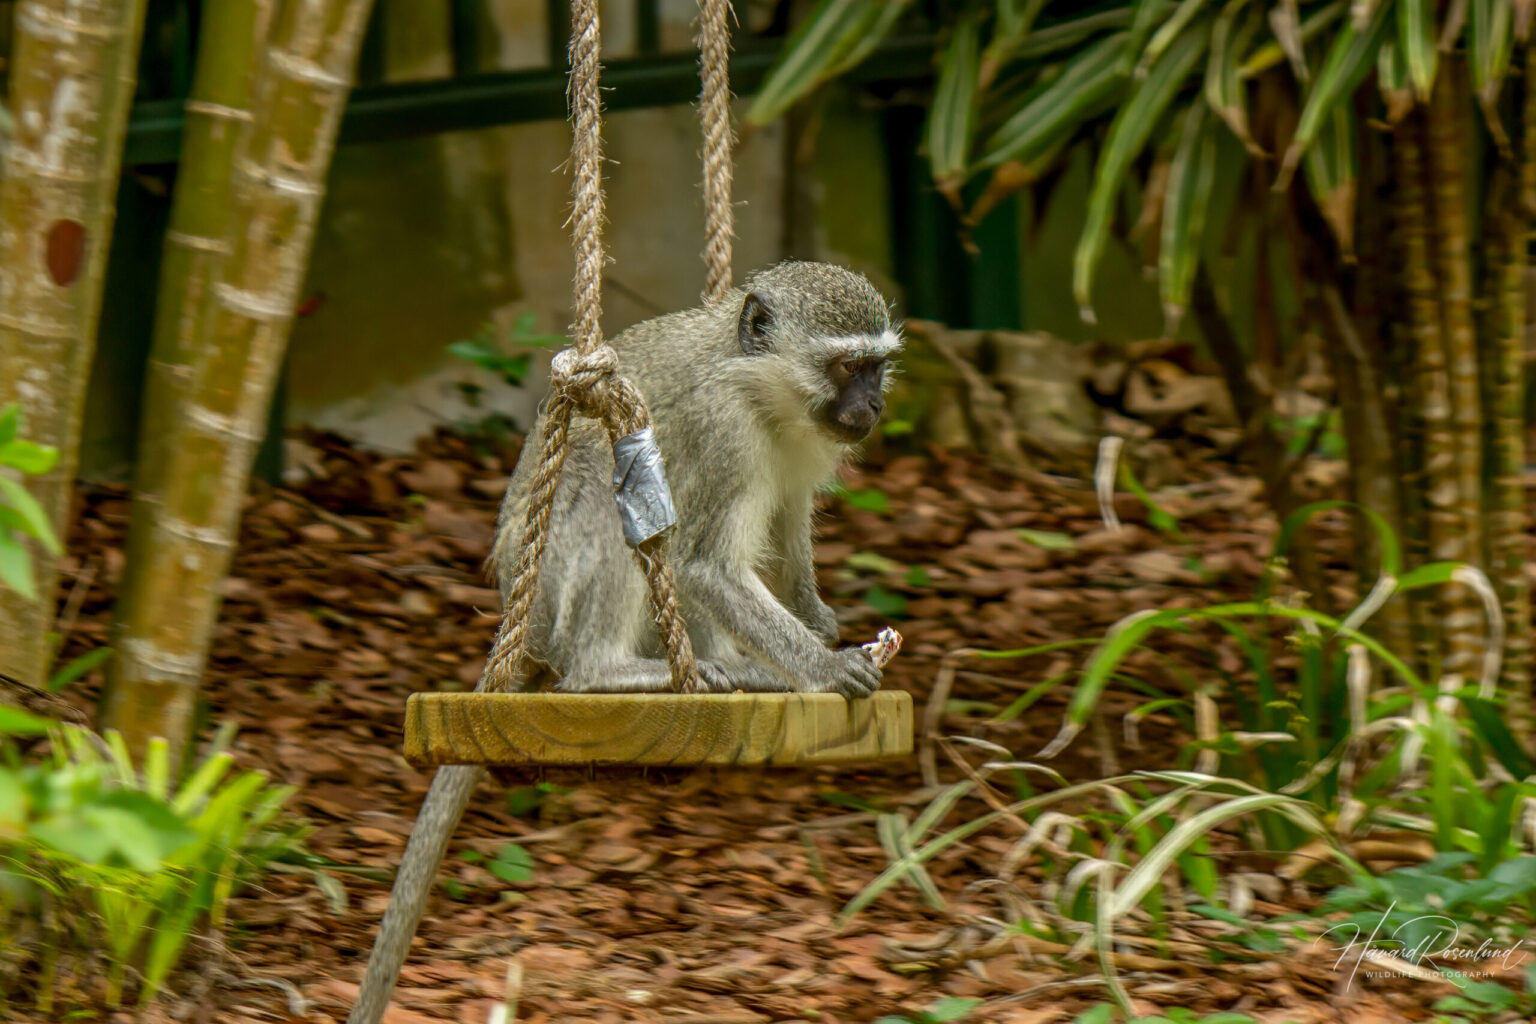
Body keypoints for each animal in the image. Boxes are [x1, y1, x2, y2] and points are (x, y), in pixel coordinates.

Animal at [348, 261, 901, 1024]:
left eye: (876, 367)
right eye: (846, 366)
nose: (872, 405)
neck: (760, 389)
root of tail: (519, 625)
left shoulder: (803, 449)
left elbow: (787, 527)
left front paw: (816, 622)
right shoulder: (721, 432)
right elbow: (703, 563)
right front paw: (826, 667)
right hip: (549, 591)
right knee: (617, 495)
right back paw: (621, 672)